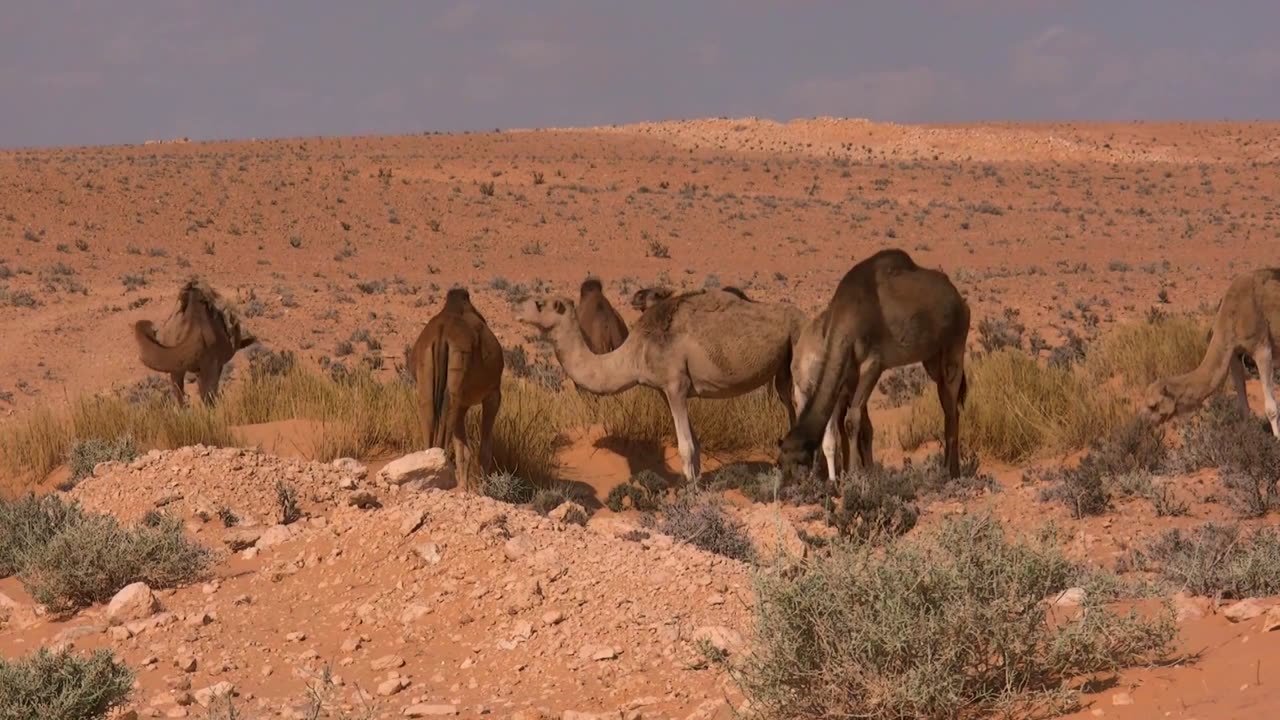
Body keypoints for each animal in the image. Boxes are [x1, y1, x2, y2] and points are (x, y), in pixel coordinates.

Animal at [412, 285, 506, 486]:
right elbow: (483, 452)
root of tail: (441, 334)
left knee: (430, 424)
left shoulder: (462, 403)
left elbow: (464, 453)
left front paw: (465, 488)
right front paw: (482, 488)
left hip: (428, 378)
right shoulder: (493, 394)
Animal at [517, 286, 798, 481]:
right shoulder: (664, 390)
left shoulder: (676, 386)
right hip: (783, 371)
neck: (634, 353)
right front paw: (695, 488)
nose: (519, 312)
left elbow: (686, 447)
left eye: (540, 304)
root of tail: (802, 316)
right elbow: (695, 446)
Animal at [778, 249, 967, 479]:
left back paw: (951, 472)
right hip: (932, 358)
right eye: (780, 463)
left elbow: (852, 420)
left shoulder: (873, 364)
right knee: (949, 403)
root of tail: (960, 299)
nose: (788, 485)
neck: (847, 317)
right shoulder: (850, 373)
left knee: (950, 406)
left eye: (799, 463)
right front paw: (864, 473)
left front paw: (853, 474)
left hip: (955, 343)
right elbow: (863, 426)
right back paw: (950, 469)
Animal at [1141, 267, 1280, 430]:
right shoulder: (1234, 353)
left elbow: (1271, 409)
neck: (1234, 314)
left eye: (1153, 406)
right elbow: (1243, 408)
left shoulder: (1262, 348)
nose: (1143, 422)